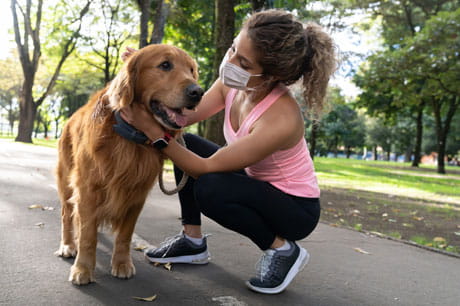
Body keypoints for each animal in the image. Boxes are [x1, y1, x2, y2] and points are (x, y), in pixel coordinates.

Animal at [54, 44, 202, 286]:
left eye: (191, 70)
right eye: (165, 65)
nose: (198, 92)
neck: (130, 137)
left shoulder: (136, 194)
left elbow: (124, 235)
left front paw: (122, 263)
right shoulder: (87, 190)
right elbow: (87, 236)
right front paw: (83, 268)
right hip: (66, 182)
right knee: (67, 216)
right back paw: (67, 245)